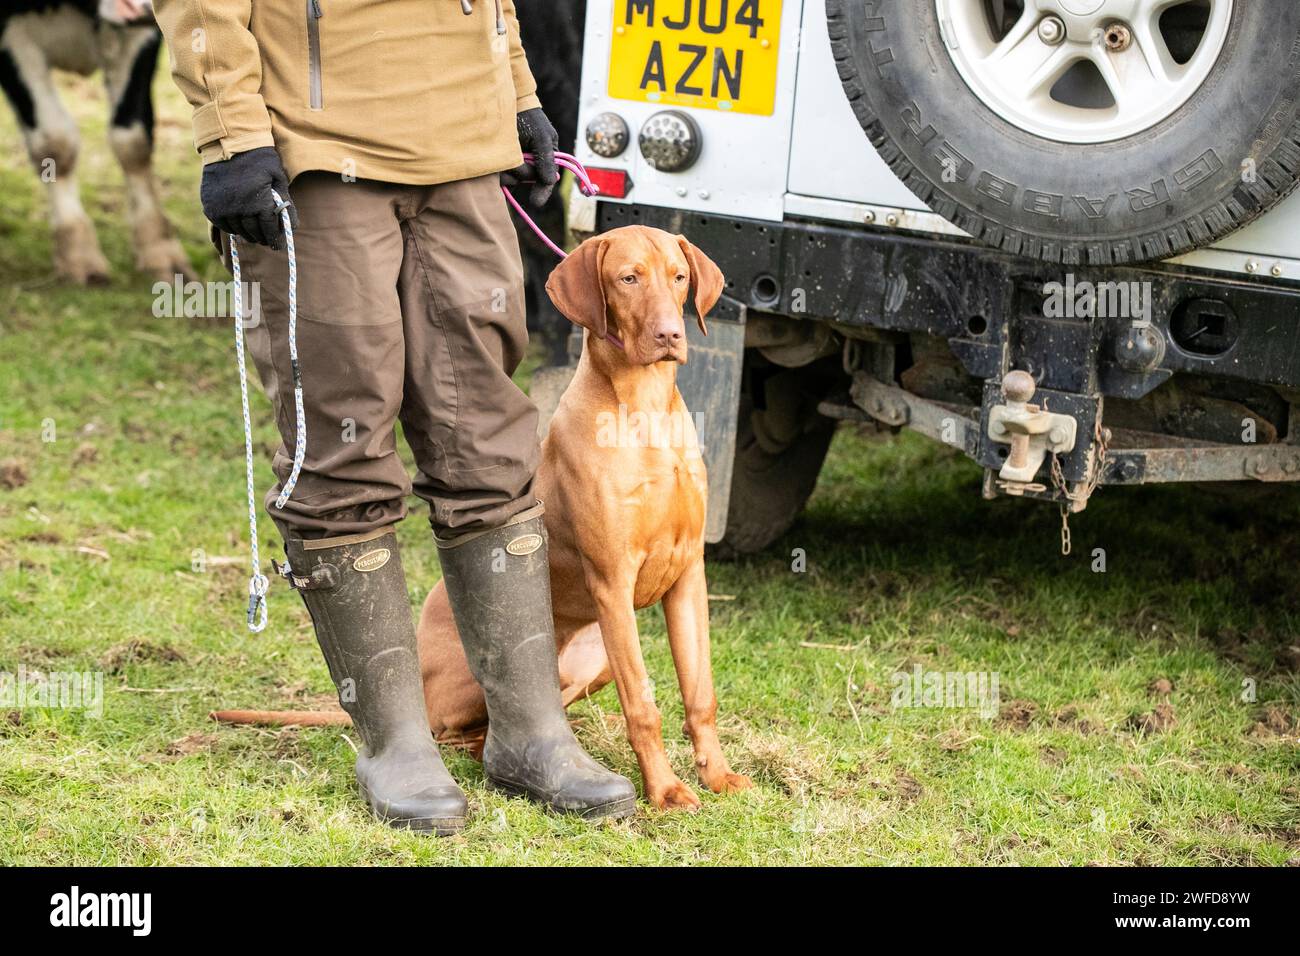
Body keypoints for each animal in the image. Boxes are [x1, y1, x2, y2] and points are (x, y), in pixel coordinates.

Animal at [0, 0, 191, 283]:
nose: (144, 9)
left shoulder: (144, 38)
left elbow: (132, 140)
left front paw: (160, 249)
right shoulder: (11, 38)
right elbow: (54, 141)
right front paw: (78, 253)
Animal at [418, 227, 754, 811]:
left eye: (679, 277)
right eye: (628, 278)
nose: (670, 334)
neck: (646, 413)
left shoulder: (689, 574)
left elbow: (700, 693)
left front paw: (717, 775)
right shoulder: (613, 581)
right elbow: (643, 705)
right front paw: (665, 790)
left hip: (594, 655)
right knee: (465, 732)